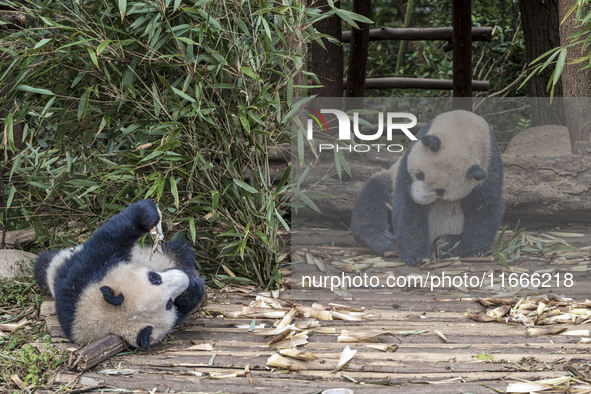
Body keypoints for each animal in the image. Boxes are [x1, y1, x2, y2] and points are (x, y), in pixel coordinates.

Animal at [35, 200, 206, 348]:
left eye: (154, 277)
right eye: (169, 304)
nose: (184, 279)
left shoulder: (83, 275)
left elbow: (111, 237)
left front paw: (148, 213)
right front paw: (192, 287)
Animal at [352, 109, 504, 266]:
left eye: (440, 191)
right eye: (420, 175)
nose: (418, 198)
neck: (463, 128)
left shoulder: (489, 163)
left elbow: (484, 206)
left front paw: (476, 250)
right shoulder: (410, 157)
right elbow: (407, 207)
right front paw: (417, 256)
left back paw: (445, 244)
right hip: (388, 181)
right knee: (373, 198)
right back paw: (377, 239)